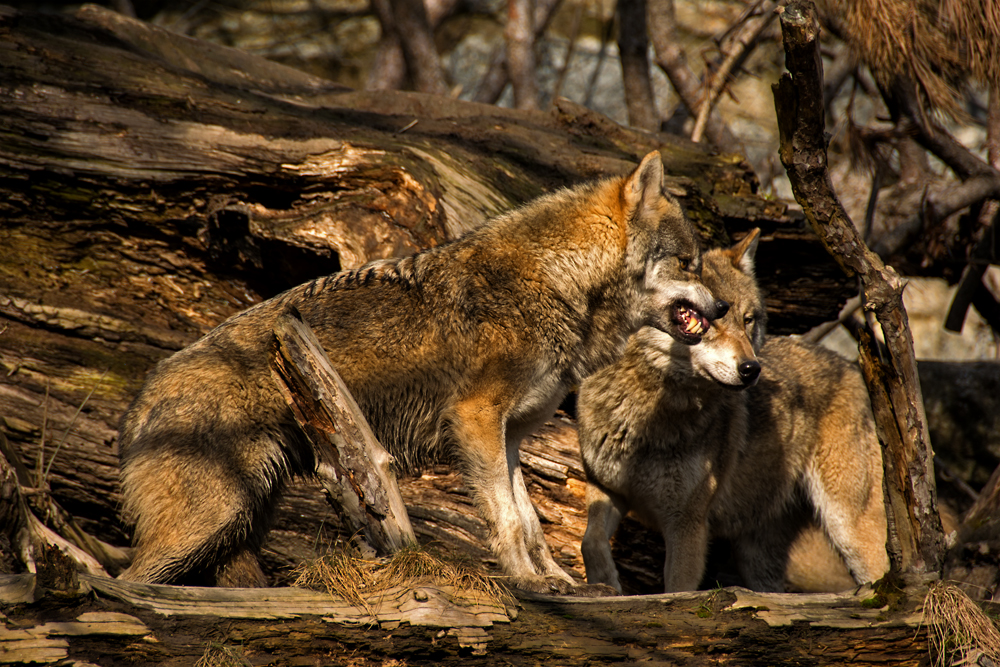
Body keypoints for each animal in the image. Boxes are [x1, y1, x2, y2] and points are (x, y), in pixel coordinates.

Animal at [119, 153, 728, 596]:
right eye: (690, 263)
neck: (559, 281)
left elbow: (529, 521)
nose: (722, 307)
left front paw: (557, 582)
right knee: (128, 577)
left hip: (238, 526)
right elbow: (508, 521)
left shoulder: (509, 436)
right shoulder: (476, 420)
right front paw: (527, 583)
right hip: (209, 523)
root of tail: (141, 397)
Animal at [580, 231, 892, 596]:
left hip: (850, 532)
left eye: (747, 320)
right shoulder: (605, 487)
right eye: (701, 319)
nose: (751, 369)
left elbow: (677, 592)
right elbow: (590, 541)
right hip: (758, 558)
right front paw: (604, 582)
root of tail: (853, 368)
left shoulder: (687, 524)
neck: (648, 414)